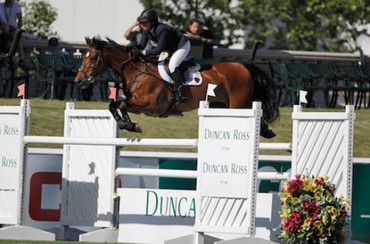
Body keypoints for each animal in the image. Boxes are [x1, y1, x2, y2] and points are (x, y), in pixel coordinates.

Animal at [73, 37, 278, 138]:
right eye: (82, 56)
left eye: (93, 58)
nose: (79, 81)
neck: (137, 71)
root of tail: (244, 66)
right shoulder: (138, 105)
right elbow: (114, 105)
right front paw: (128, 124)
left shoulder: (153, 106)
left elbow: (121, 105)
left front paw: (130, 125)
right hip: (222, 106)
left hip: (239, 106)